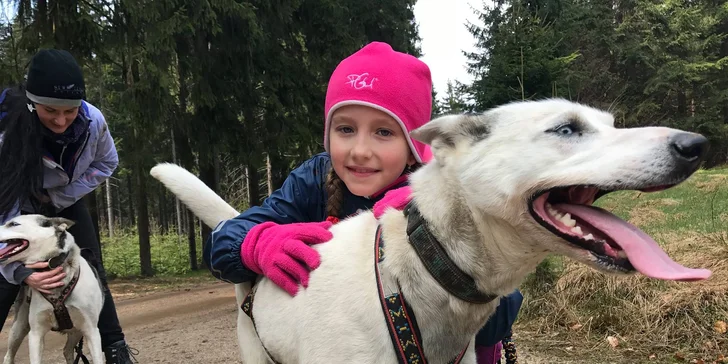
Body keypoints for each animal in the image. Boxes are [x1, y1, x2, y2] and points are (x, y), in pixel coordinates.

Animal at [0, 215, 106, 362]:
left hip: (77, 331)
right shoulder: (36, 334)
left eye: (14, 224)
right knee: (8, 356)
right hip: (18, 328)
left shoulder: (91, 331)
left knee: (67, 350)